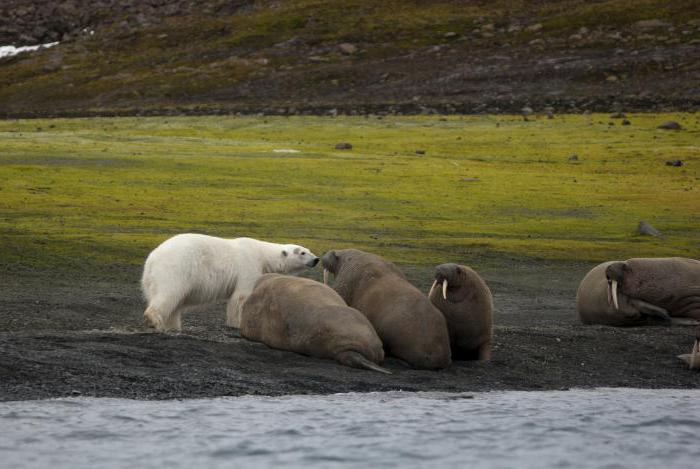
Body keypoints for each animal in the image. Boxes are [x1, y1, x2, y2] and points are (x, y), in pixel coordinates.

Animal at [140, 233, 320, 330]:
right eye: (302, 253)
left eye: (309, 250)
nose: (316, 259)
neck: (263, 256)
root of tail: (152, 259)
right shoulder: (248, 266)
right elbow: (240, 297)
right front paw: (237, 324)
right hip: (176, 269)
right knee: (169, 294)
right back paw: (154, 321)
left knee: (174, 301)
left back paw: (173, 325)